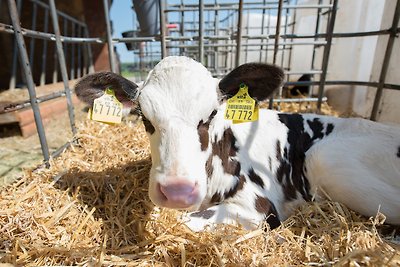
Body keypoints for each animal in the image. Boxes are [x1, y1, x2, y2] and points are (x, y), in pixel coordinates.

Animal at [75, 56, 400, 232]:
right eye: (144, 117)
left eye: (212, 114)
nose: (177, 191)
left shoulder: (259, 204)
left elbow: (184, 222)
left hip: (328, 159)